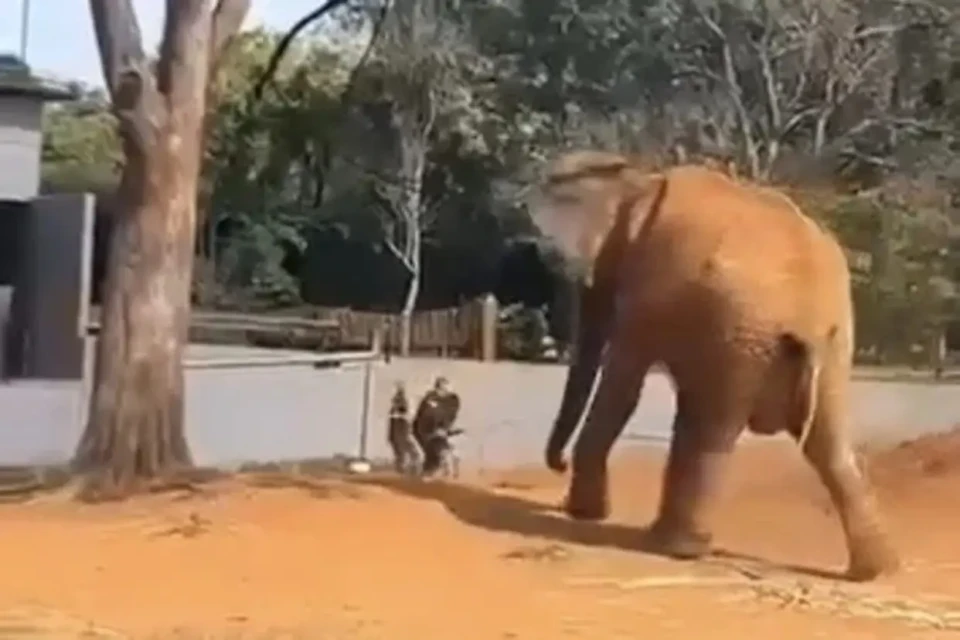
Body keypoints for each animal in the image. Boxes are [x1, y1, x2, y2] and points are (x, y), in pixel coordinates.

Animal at [528, 150, 900, 582]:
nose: (557, 464)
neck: (639, 180)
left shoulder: (647, 296)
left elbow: (622, 388)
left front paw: (585, 515)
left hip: (742, 331)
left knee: (712, 429)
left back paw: (675, 547)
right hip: (830, 342)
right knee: (829, 444)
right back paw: (876, 571)